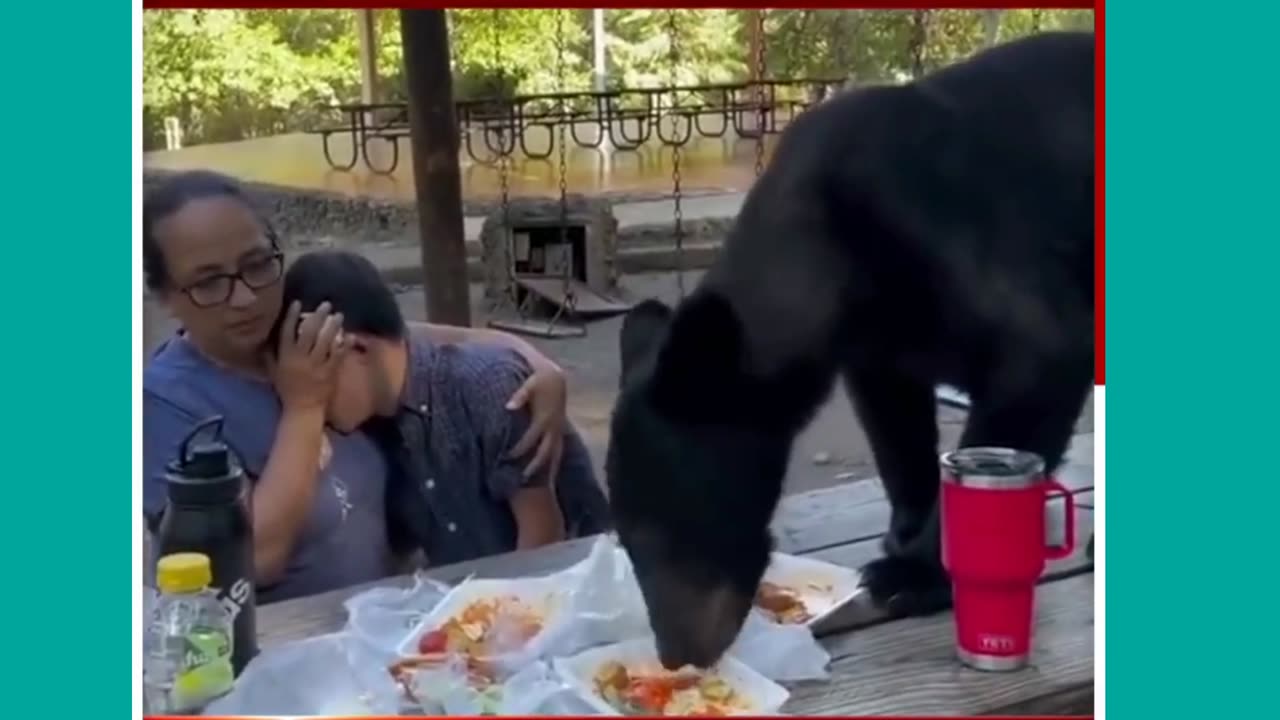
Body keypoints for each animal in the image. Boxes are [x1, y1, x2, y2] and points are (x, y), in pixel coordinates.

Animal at [604, 28, 1095, 666]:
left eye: (662, 533)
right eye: (626, 539)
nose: (675, 654)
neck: (829, 255)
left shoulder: (954, 235)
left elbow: (1039, 358)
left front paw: (912, 573)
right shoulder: (881, 341)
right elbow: (896, 426)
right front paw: (904, 529)